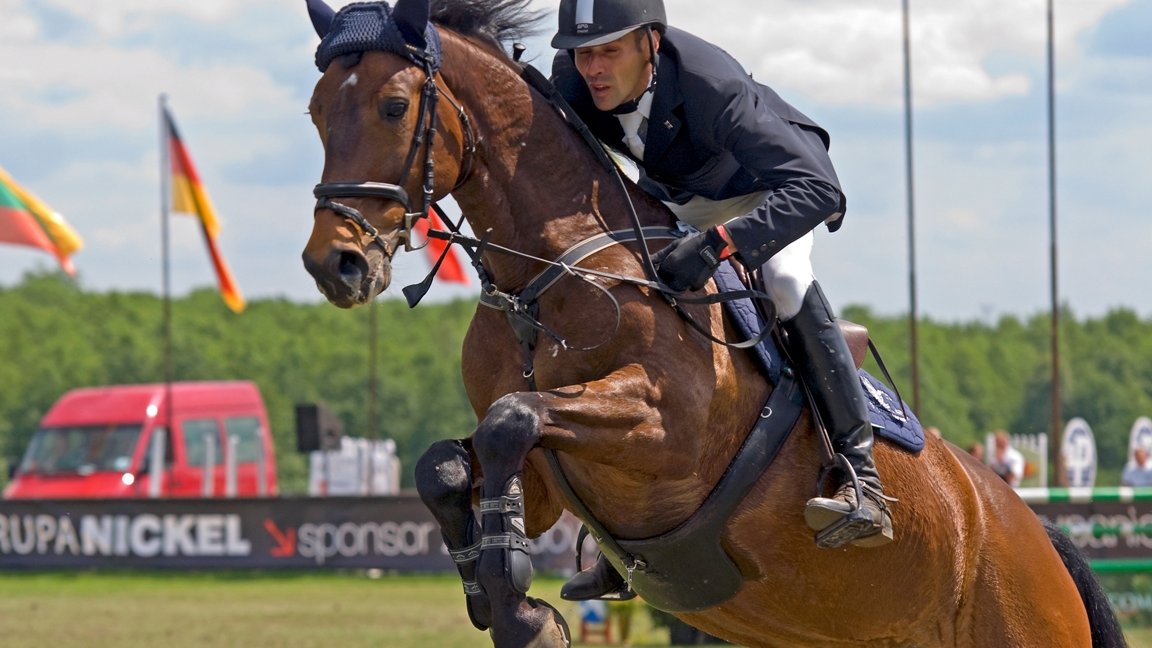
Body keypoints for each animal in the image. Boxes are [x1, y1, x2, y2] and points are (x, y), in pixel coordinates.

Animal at [301, 1, 1128, 641]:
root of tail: (1037, 535)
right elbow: (444, 463)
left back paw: (858, 495)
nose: (332, 263)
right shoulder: (550, 480)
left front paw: (519, 607)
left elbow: (512, 417)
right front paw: (497, 598)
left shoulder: (663, 430)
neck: (545, 281)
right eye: (314, 111)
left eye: (394, 106)